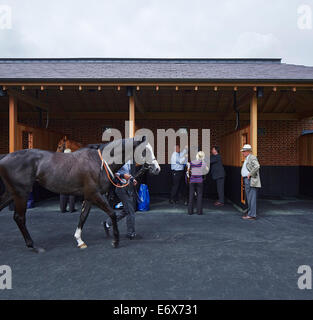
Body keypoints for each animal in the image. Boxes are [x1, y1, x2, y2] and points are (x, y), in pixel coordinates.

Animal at [0, 138, 160, 252]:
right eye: (145, 151)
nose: (157, 168)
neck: (99, 162)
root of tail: (4, 158)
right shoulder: (95, 195)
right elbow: (112, 214)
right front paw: (115, 241)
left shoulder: (89, 196)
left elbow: (83, 216)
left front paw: (79, 240)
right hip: (21, 193)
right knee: (19, 217)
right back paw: (33, 246)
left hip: (11, 193)